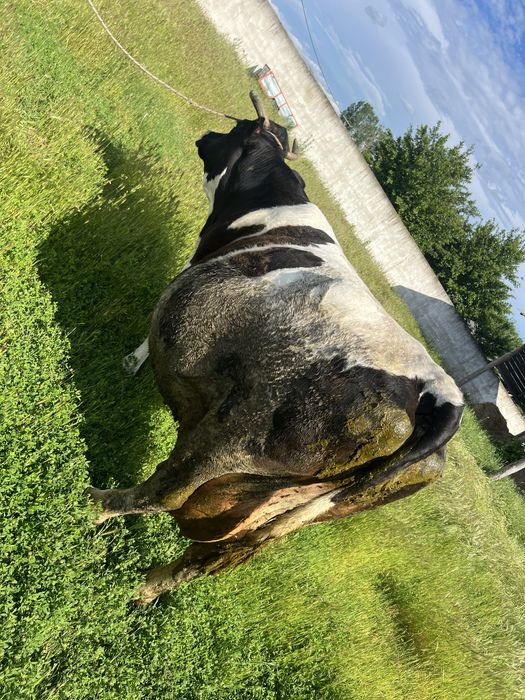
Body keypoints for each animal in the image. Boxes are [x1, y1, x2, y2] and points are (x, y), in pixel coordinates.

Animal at [86, 92, 464, 604]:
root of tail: (440, 392)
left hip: (232, 434)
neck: (275, 200)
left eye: (237, 127)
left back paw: (93, 504)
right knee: (216, 556)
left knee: (166, 493)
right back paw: (145, 589)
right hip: (295, 508)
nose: (206, 136)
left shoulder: (195, 260)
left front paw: (131, 360)